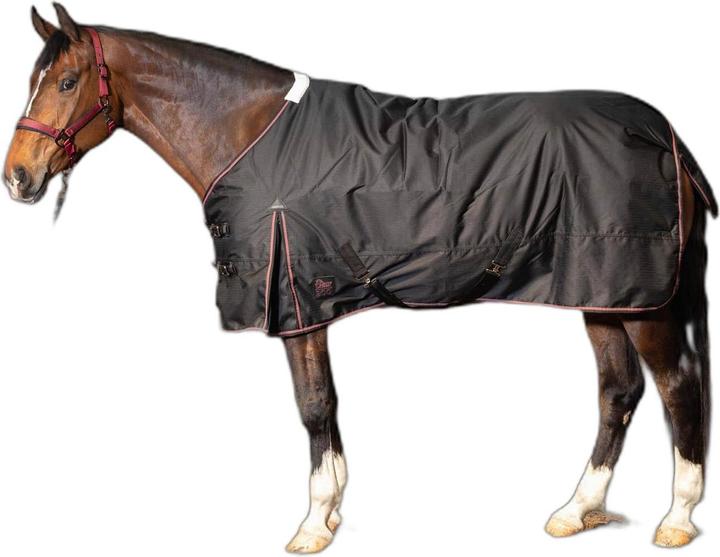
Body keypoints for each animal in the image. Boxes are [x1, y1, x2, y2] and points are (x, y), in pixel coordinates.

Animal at [3, 4, 714, 553]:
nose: (17, 176)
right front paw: (333, 512)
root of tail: (667, 136)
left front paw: (313, 523)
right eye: (35, 79)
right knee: (618, 392)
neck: (251, 135)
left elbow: (315, 405)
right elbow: (327, 405)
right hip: (601, 292)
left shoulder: (297, 300)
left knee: (678, 385)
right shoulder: (308, 301)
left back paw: (677, 519)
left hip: (644, 300)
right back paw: (575, 511)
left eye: (66, 81)